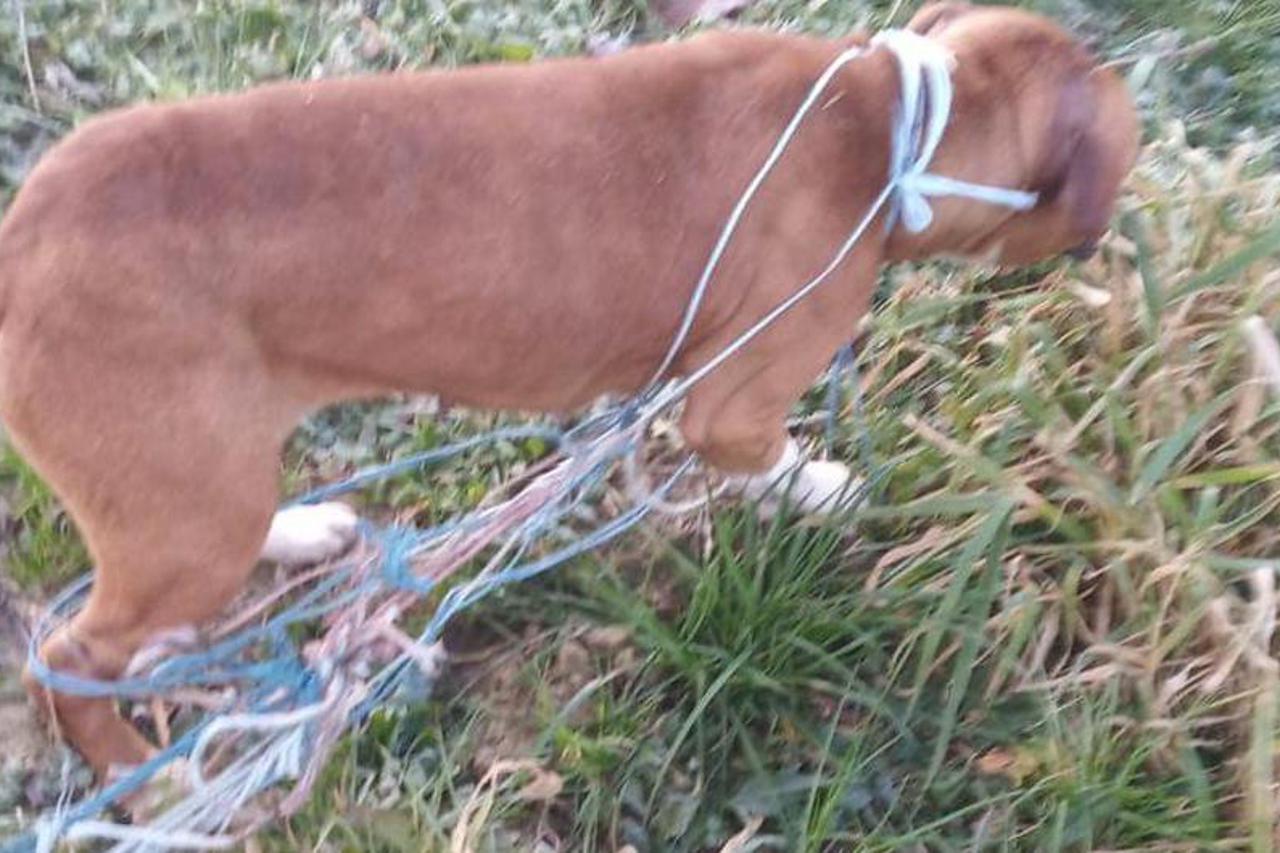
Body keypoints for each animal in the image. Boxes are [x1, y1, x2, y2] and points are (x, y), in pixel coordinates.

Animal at [0, 2, 1137, 790]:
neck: (892, 123)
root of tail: (25, 235)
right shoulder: (732, 404)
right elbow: (774, 460)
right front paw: (824, 489)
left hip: (207, 484)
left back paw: (296, 534)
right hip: (184, 513)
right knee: (64, 658)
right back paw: (137, 770)